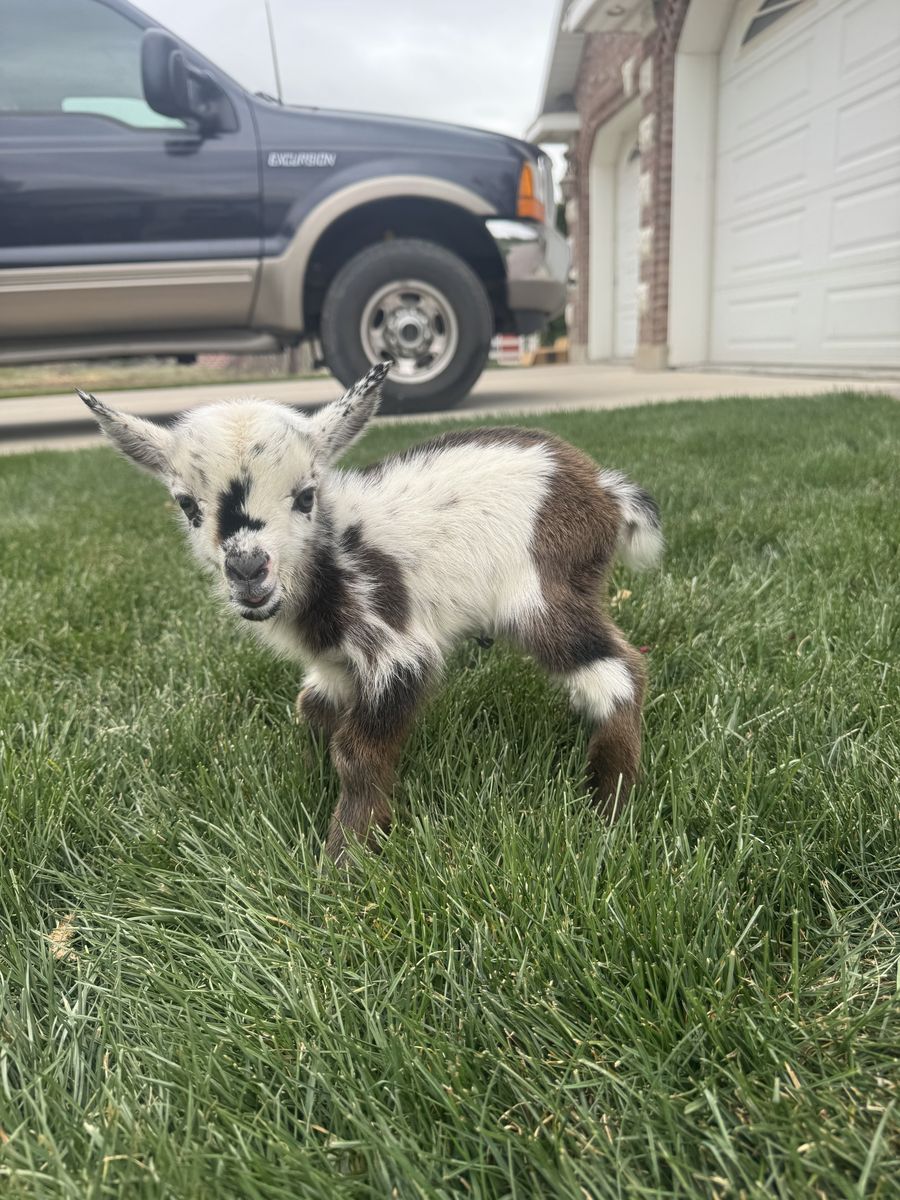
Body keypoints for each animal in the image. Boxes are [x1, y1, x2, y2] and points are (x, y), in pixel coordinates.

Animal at [79, 363, 662, 862]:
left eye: (306, 496)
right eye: (186, 504)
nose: (248, 568)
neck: (330, 558)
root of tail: (606, 492)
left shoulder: (394, 646)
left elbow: (356, 751)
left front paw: (344, 861)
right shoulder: (333, 663)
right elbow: (312, 709)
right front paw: (304, 781)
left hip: (542, 591)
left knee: (618, 669)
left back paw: (608, 805)